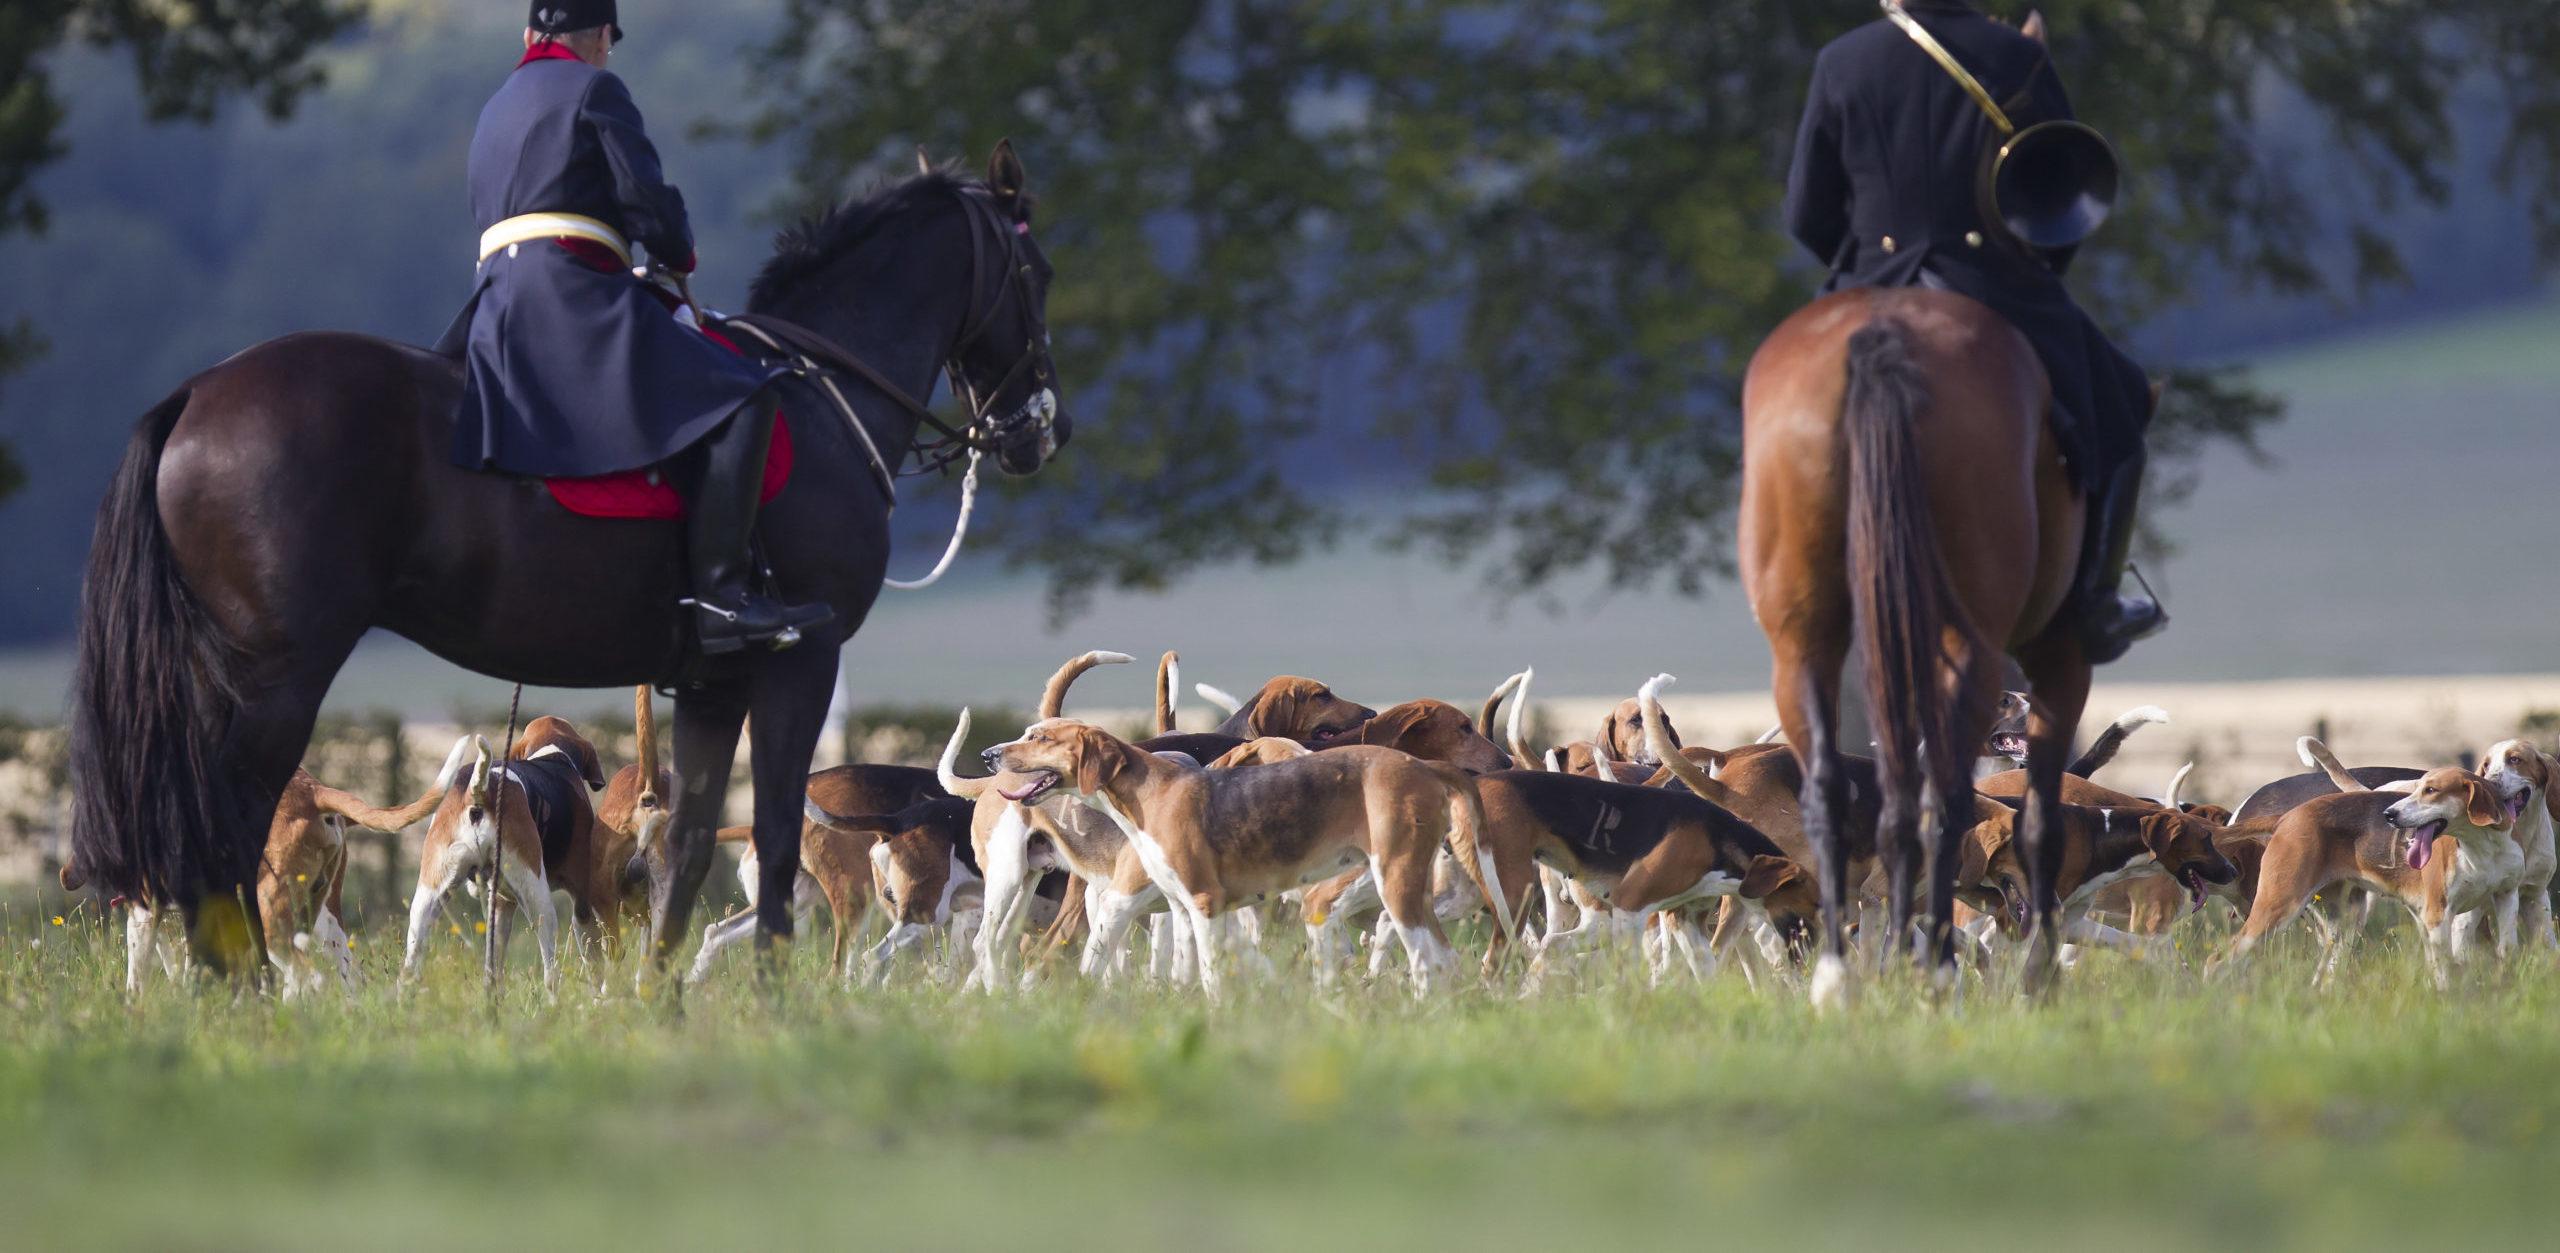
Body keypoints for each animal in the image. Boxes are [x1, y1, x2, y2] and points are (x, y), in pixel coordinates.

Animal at [67, 151, 1070, 983]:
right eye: (1039, 274)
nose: (1038, 430)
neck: (820, 392)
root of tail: (197, 392)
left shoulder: (713, 682)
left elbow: (690, 846)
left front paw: (665, 997)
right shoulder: (799, 661)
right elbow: (781, 836)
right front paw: (775, 1002)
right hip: (275, 680)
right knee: (224, 831)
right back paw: (247, 992)